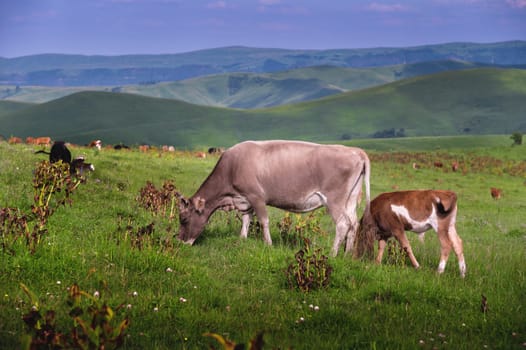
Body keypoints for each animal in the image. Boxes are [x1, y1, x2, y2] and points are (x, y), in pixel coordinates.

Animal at [177, 139, 372, 258]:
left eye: (184, 219)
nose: (180, 241)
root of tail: (356, 151)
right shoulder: (245, 200)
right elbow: (246, 219)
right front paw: (242, 239)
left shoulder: (256, 196)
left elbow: (263, 221)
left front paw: (269, 244)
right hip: (351, 199)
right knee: (354, 223)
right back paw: (347, 254)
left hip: (334, 199)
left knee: (343, 223)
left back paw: (332, 254)